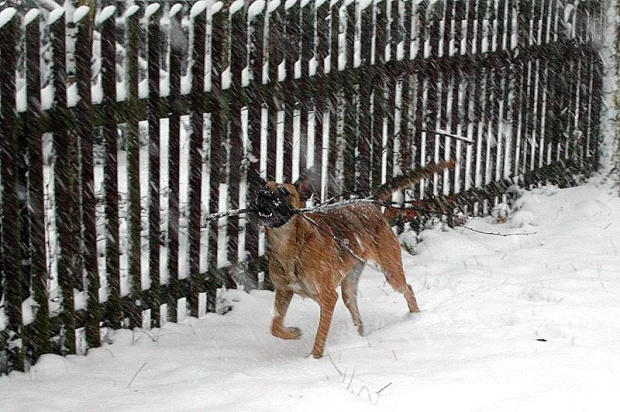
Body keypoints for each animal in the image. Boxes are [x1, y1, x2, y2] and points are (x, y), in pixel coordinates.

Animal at [253, 161, 456, 358]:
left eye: (283, 192)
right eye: (265, 187)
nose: (262, 194)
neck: (291, 246)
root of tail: (369, 204)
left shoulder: (328, 298)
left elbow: (320, 335)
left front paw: (314, 358)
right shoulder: (284, 291)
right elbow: (275, 327)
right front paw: (293, 333)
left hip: (391, 272)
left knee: (408, 288)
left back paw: (415, 317)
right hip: (349, 285)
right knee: (355, 311)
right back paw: (360, 337)